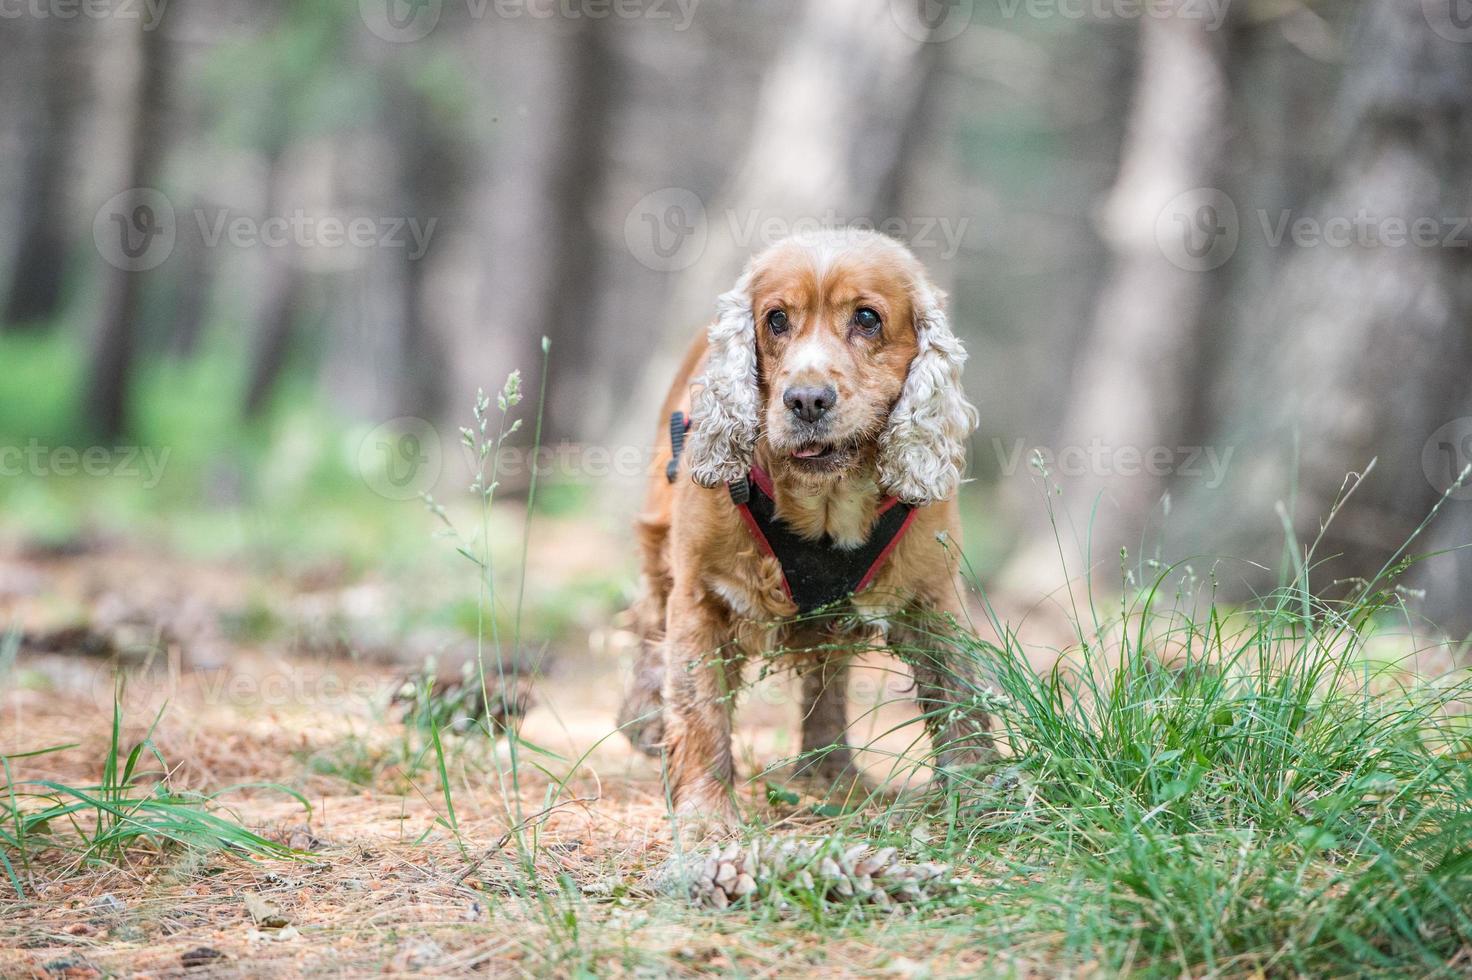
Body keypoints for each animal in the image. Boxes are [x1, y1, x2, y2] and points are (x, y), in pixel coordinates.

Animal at [615, 231, 995, 829]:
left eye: (867, 318)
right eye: (775, 319)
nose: (806, 400)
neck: (827, 501)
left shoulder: (933, 596)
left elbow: (959, 696)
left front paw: (983, 793)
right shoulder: (700, 596)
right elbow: (700, 708)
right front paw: (705, 814)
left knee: (829, 677)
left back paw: (831, 774)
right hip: (660, 553)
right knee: (651, 633)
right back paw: (646, 720)